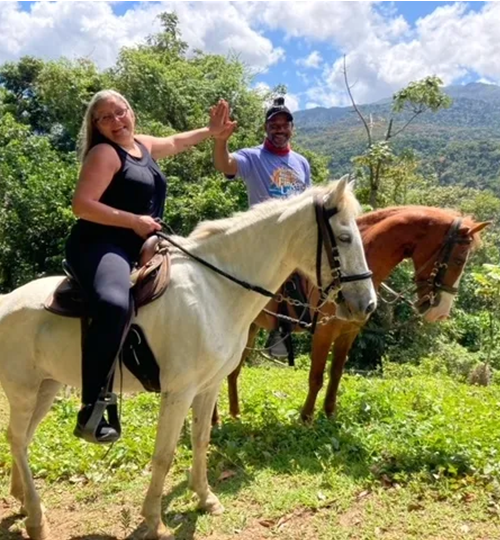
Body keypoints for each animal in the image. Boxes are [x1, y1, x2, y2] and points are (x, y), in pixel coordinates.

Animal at [0, 178, 376, 540]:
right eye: (345, 237)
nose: (368, 305)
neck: (215, 290)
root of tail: (6, 301)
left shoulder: (208, 387)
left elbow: (200, 439)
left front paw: (205, 498)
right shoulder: (178, 392)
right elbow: (164, 454)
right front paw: (155, 522)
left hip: (46, 388)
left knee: (21, 440)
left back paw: (23, 501)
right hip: (23, 391)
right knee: (17, 439)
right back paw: (36, 520)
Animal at [214, 205, 488, 424]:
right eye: (459, 260)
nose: (441, 313)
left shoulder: (349, 332)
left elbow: (336, 374)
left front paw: (329, 413)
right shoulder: (324, 331)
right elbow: (316, 377)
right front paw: (306, 418)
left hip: (249, 328)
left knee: (232, 371)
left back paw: (234, 414)